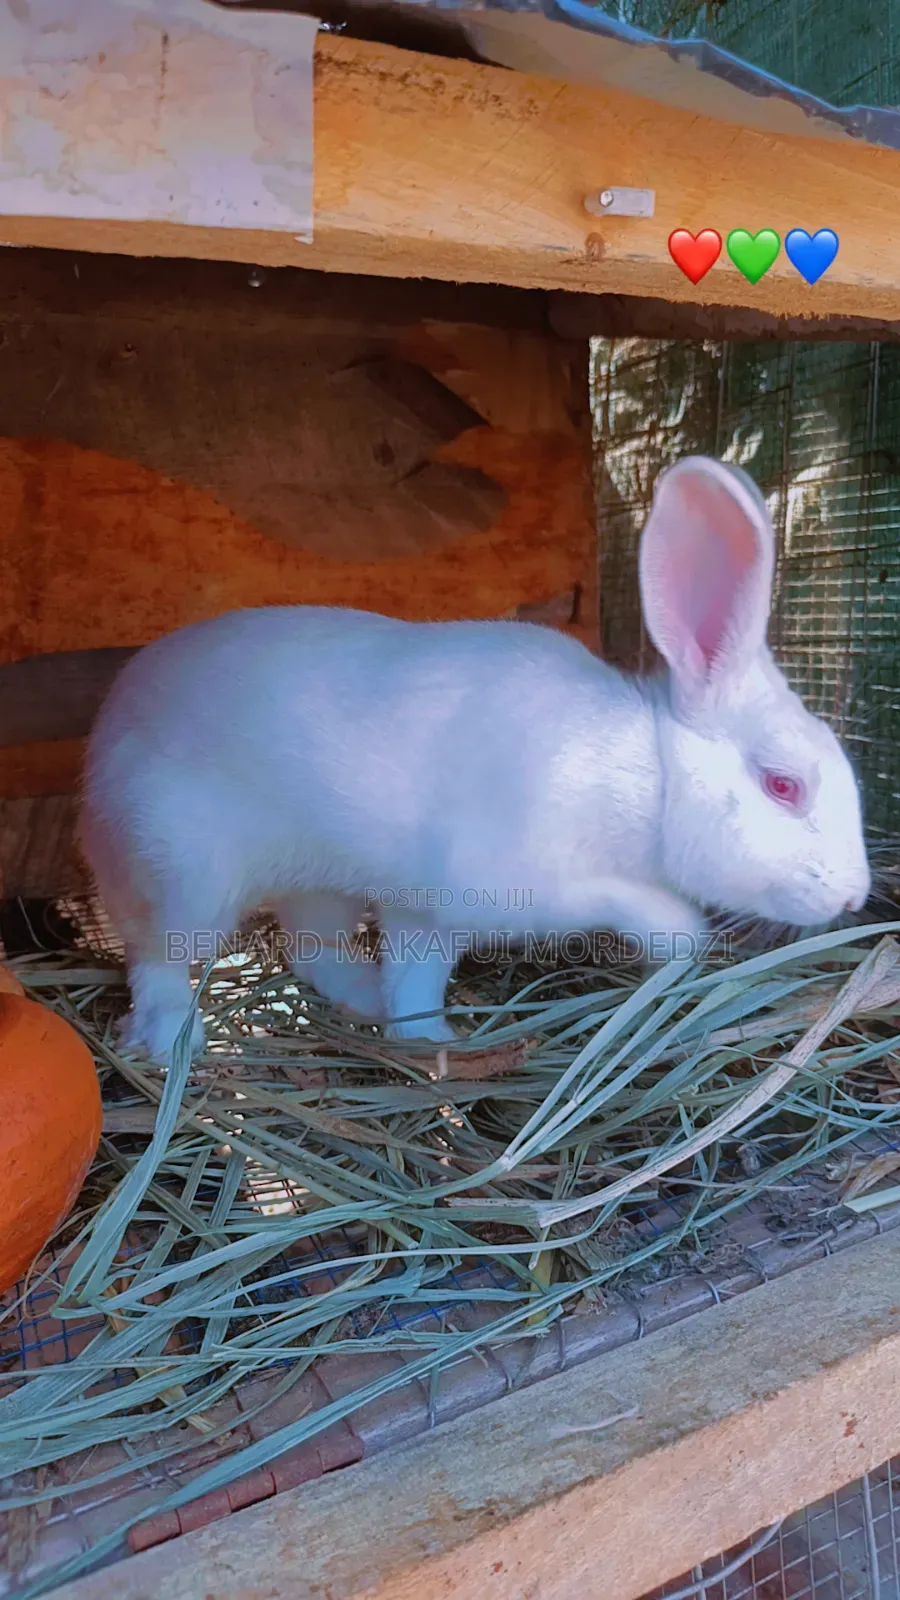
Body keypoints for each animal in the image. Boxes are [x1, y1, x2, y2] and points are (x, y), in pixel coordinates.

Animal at [78, 455, 871, 1063]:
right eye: (783, 785)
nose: (854, 897)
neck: (648, 773)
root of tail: (105, 729)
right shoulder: (513, 884)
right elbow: (631, 901)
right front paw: (681, 937)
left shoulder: (423, 910)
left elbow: (416, 978)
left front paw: (430, 1040)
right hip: (183, 873)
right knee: (156, 957)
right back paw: (167, 1043)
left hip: (319, 884)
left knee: (315, 950)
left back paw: (364, 1004)